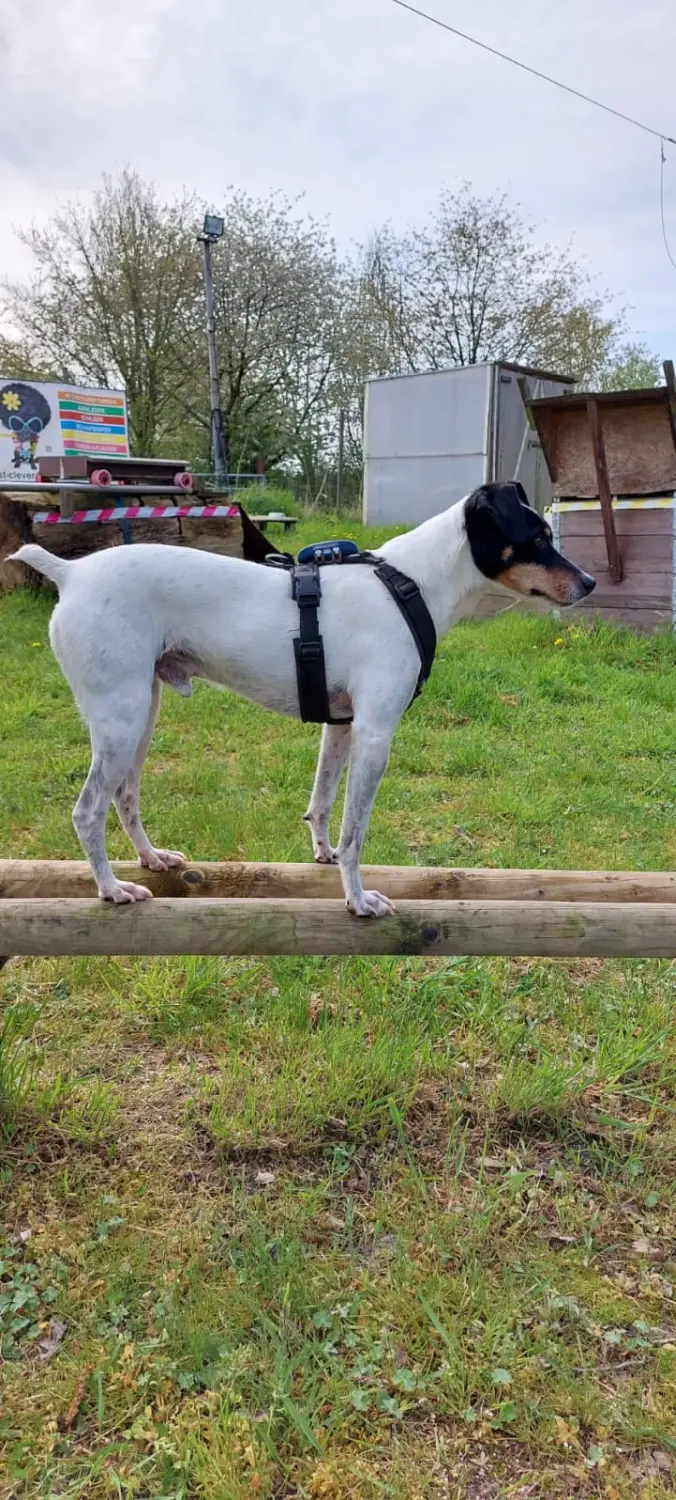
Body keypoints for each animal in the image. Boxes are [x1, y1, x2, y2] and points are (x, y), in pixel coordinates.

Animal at [13, 486, 596, 918]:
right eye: (537, 538)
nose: (590, 582)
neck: (409, 585)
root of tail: (70, 572)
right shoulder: (376, 735)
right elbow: (356, 832)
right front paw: (358, 900)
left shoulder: (341, 725)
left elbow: (322, 802)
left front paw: (322, 856)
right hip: (122, 718)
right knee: (88, 810)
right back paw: (112, 889)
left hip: (140, 715)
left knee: (125, 795)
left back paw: (152, 859)